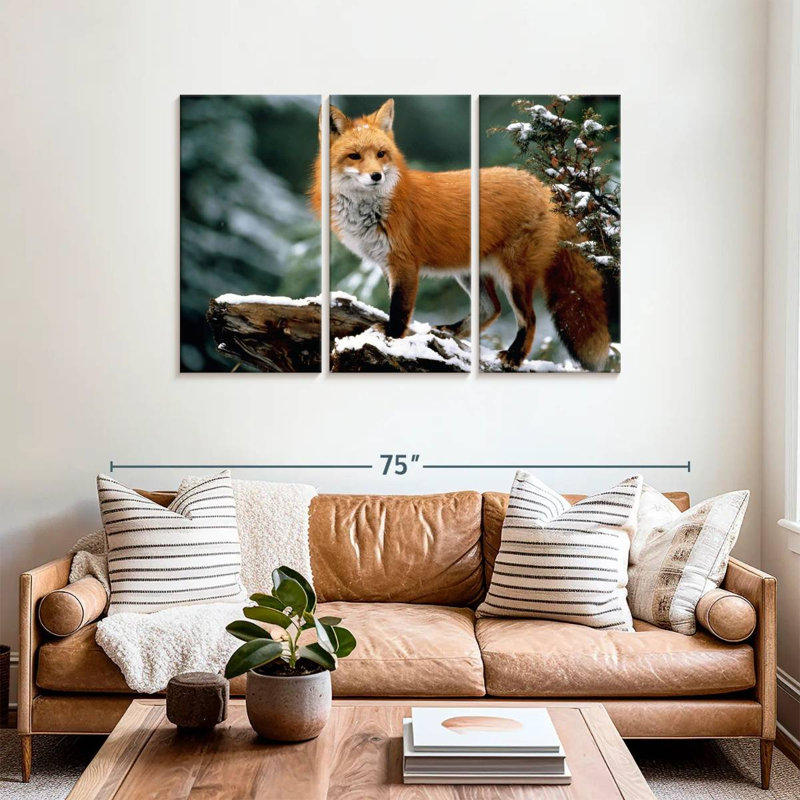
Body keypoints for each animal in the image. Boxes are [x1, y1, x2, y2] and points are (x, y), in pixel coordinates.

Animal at [310, 98, 611, 370]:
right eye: (355, 156)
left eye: (381, 154)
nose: (376, 176)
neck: (373, 210)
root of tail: (545, 187)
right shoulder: (386, 264)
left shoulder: (404, 264)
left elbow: (399, 310)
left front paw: (392, 339)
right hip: (469, 271)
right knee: (491, 308)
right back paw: (452, 332)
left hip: (514, 275)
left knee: (529, 318)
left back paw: (514, 356)